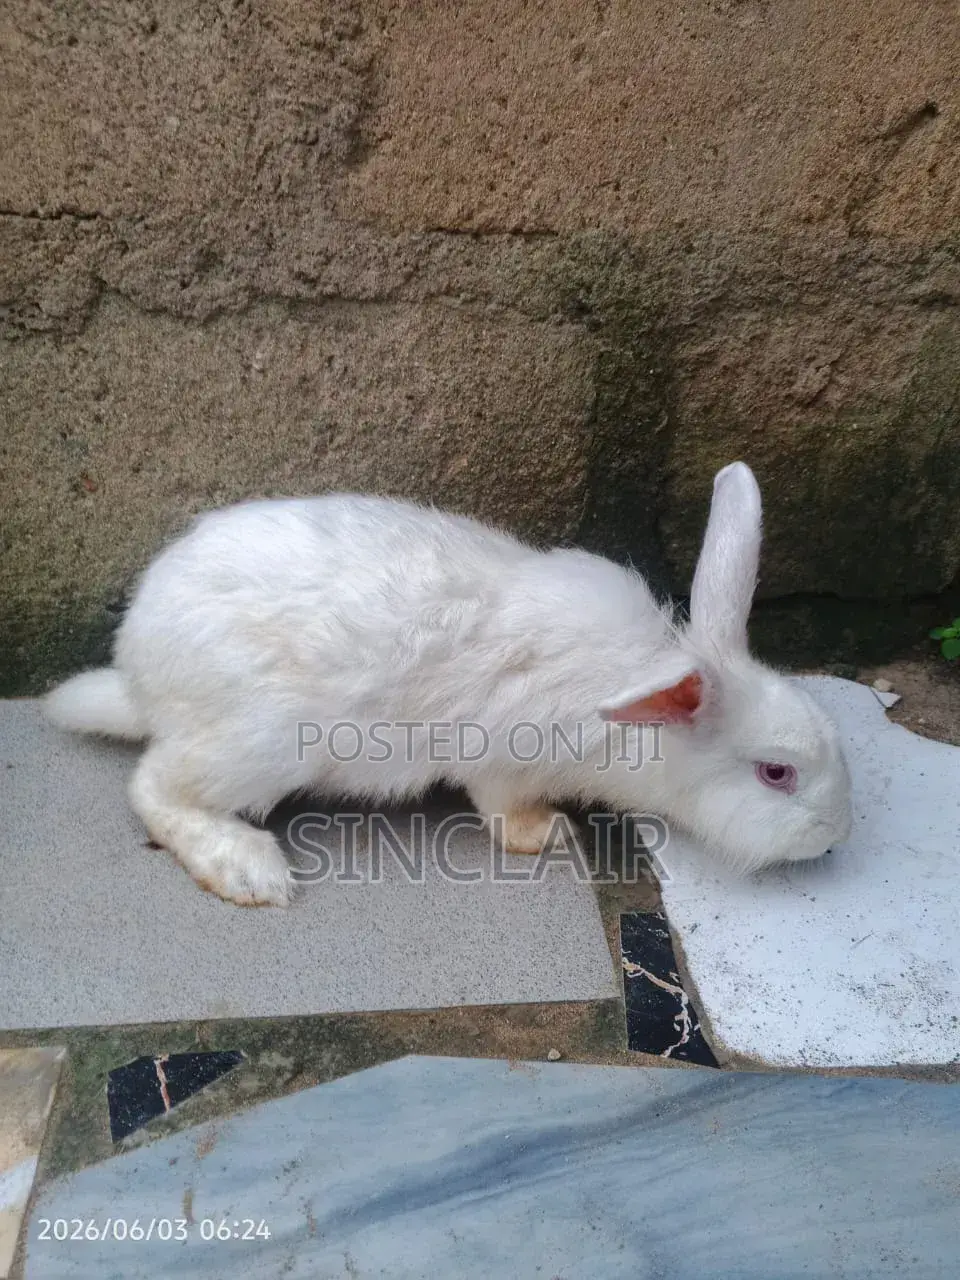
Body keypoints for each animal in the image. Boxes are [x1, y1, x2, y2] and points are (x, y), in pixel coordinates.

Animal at [45, 461, 852, 907]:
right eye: (776, 774)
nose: (836, 836)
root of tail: (140, 676)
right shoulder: (505, 761)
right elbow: (501, 810)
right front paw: (548, 835)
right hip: (260, 741)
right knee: (155, 788)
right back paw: (247, 869)